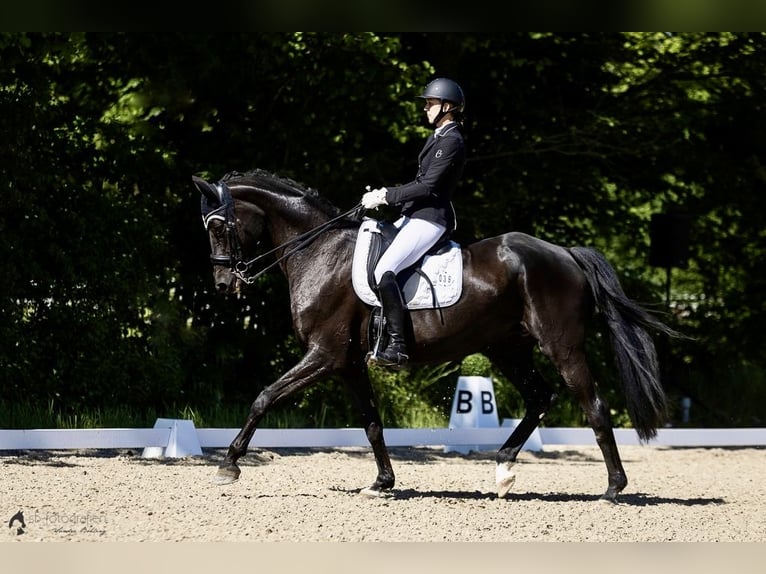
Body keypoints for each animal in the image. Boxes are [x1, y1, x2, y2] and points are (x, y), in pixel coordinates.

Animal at [193, 169, 680, 501]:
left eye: (217, 226)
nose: (224, 285)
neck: (320, 252)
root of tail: (565, 253)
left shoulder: (324, 355)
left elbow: (264, 397)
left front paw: (229, 465)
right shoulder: (347, 364)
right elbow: (372, 423)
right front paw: (382, 482)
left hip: (560, 345)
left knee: (593, 404)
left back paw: (613, 488)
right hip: (508, 348)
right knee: (540, 397)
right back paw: (503, 470)